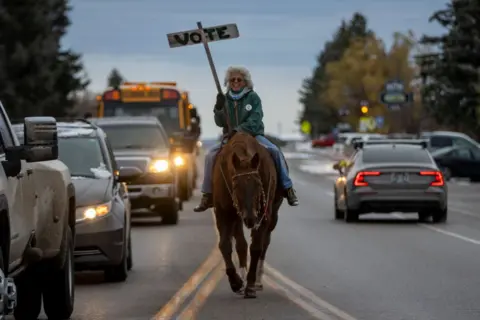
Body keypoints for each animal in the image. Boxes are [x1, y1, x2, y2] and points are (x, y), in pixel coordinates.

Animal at [212, 132, 284, 298]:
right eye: (236, 186)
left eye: (258, 184)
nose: (250, 218)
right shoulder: (222, 212)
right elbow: (224, 245)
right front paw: (235, 282)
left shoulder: (264, 215)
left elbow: (257, 247)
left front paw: (250, 285)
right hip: (236, 217)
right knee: (241, 243)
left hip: (273, 215)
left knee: (265, 243)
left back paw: (257, 280)